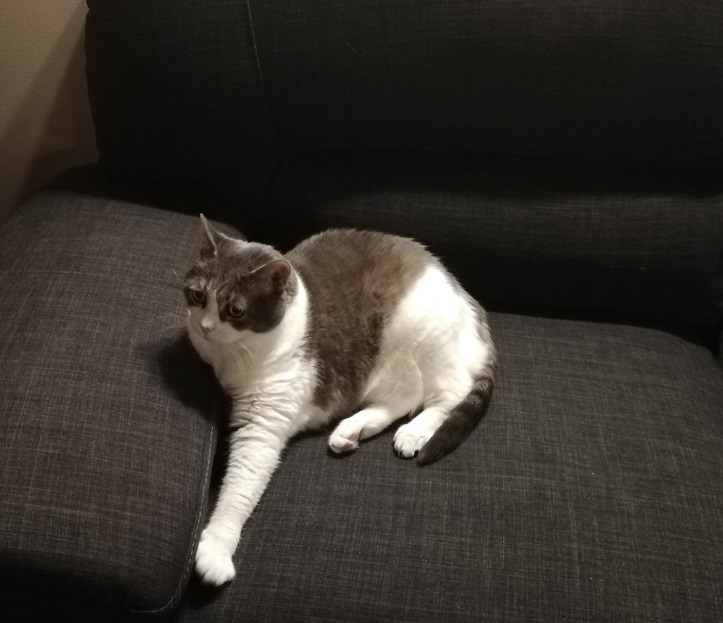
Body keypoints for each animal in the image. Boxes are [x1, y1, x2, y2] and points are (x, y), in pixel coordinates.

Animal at [184, 217, 494, 588]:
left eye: (235, 310)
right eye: (198, 295)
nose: (205, 326)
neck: (231, 358)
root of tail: (467, 298)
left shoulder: (264, 423)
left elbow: (240, 487)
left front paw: (216, 549)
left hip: (423, 339)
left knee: (449, 393)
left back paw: (414, 432)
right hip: (388, 366)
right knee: (402, 397)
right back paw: (352, 430)